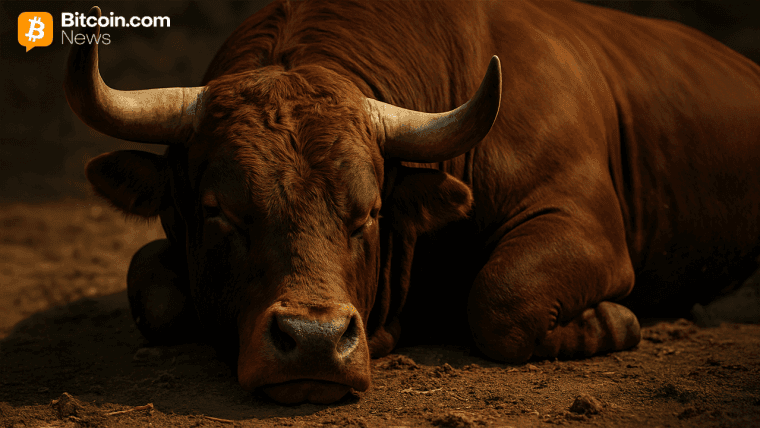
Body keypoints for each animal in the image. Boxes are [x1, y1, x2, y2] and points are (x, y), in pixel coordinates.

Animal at [63, 1, 760, 405]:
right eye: (218, 211)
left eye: (368, 212)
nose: (314, 340)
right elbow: (148, 283)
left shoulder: (585, 226)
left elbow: (501, 298)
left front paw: (610, 321)